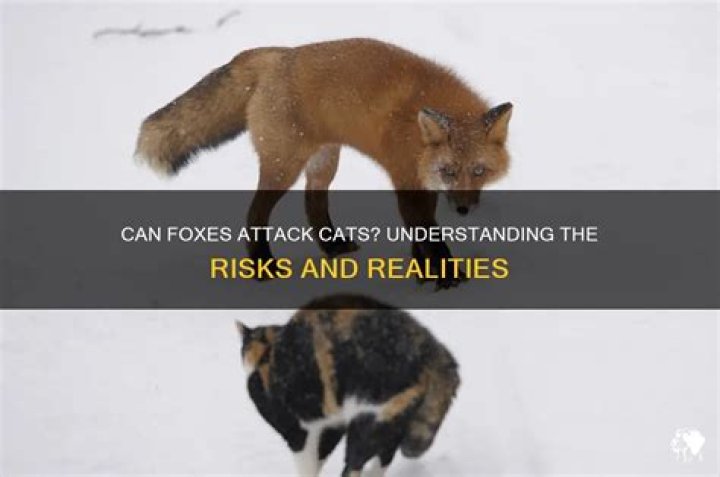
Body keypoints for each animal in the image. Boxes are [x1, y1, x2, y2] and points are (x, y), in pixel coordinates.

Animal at [135, 38, 513, 288]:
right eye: (449, 171)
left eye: (479, 171)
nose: (463, 210)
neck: (415, 132)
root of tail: (277, 54)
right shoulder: (406, 177)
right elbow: (428, 234)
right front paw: (447, 278)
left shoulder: (421, 181)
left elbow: (422, 232)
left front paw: (423, 273)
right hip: (283, 167)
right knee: (255, 214)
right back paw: (262, 267)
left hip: (324, 163)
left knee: (313, 204)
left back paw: (332, 247)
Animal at [236, 294, 460, 477]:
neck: (266, 353)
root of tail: (433, 354)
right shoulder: (332, 422)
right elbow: (321, 455)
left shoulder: (296, 430)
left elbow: (307, 465)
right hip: (393, 421)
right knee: (383, 458)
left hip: (369, 421)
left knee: (353, 465)